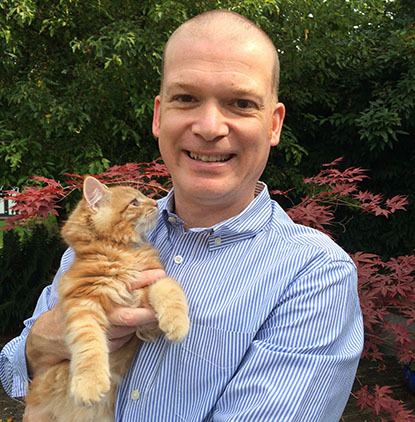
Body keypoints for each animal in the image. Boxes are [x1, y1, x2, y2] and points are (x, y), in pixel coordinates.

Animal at [23, 176, 189, 420]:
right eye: (134, 202)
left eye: (144, 198)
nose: (156, 204)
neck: (123, 251)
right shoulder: (83, 302)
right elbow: (90, 345)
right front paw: (89, 384)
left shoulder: (151, 283)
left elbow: (170, 290)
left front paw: (178, 324)